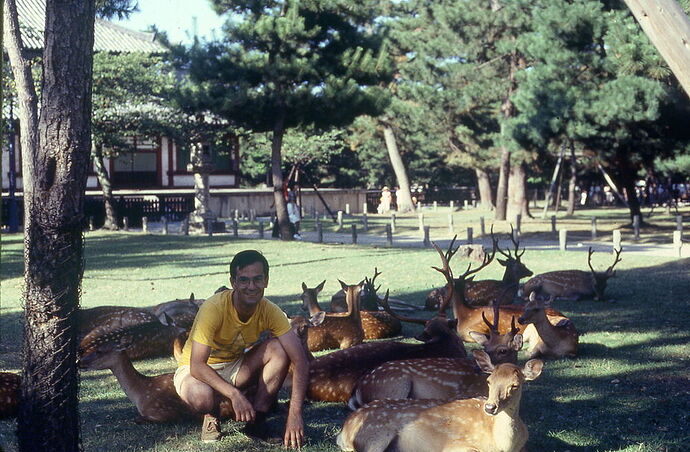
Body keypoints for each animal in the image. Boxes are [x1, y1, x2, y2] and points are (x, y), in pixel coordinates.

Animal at [334, 350, 544, 452]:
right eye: (489, 381)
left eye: (515, 385)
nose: (490, 407)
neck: (503, 446)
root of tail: (344, 430)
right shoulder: (455, 446)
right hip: (372, 435)